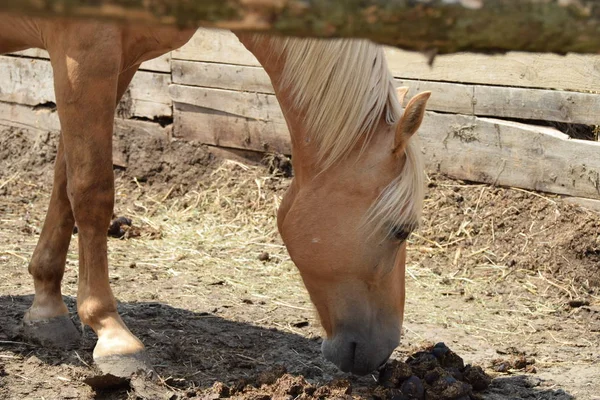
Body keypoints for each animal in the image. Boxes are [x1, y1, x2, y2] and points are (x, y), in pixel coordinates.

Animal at [0, 14, 432, 378]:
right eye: (401, 231)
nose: (383, 351)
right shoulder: (84, 52)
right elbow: (92, 190)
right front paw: (111, 334)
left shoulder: (118, 61)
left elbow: (65, 183)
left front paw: (47, 310)